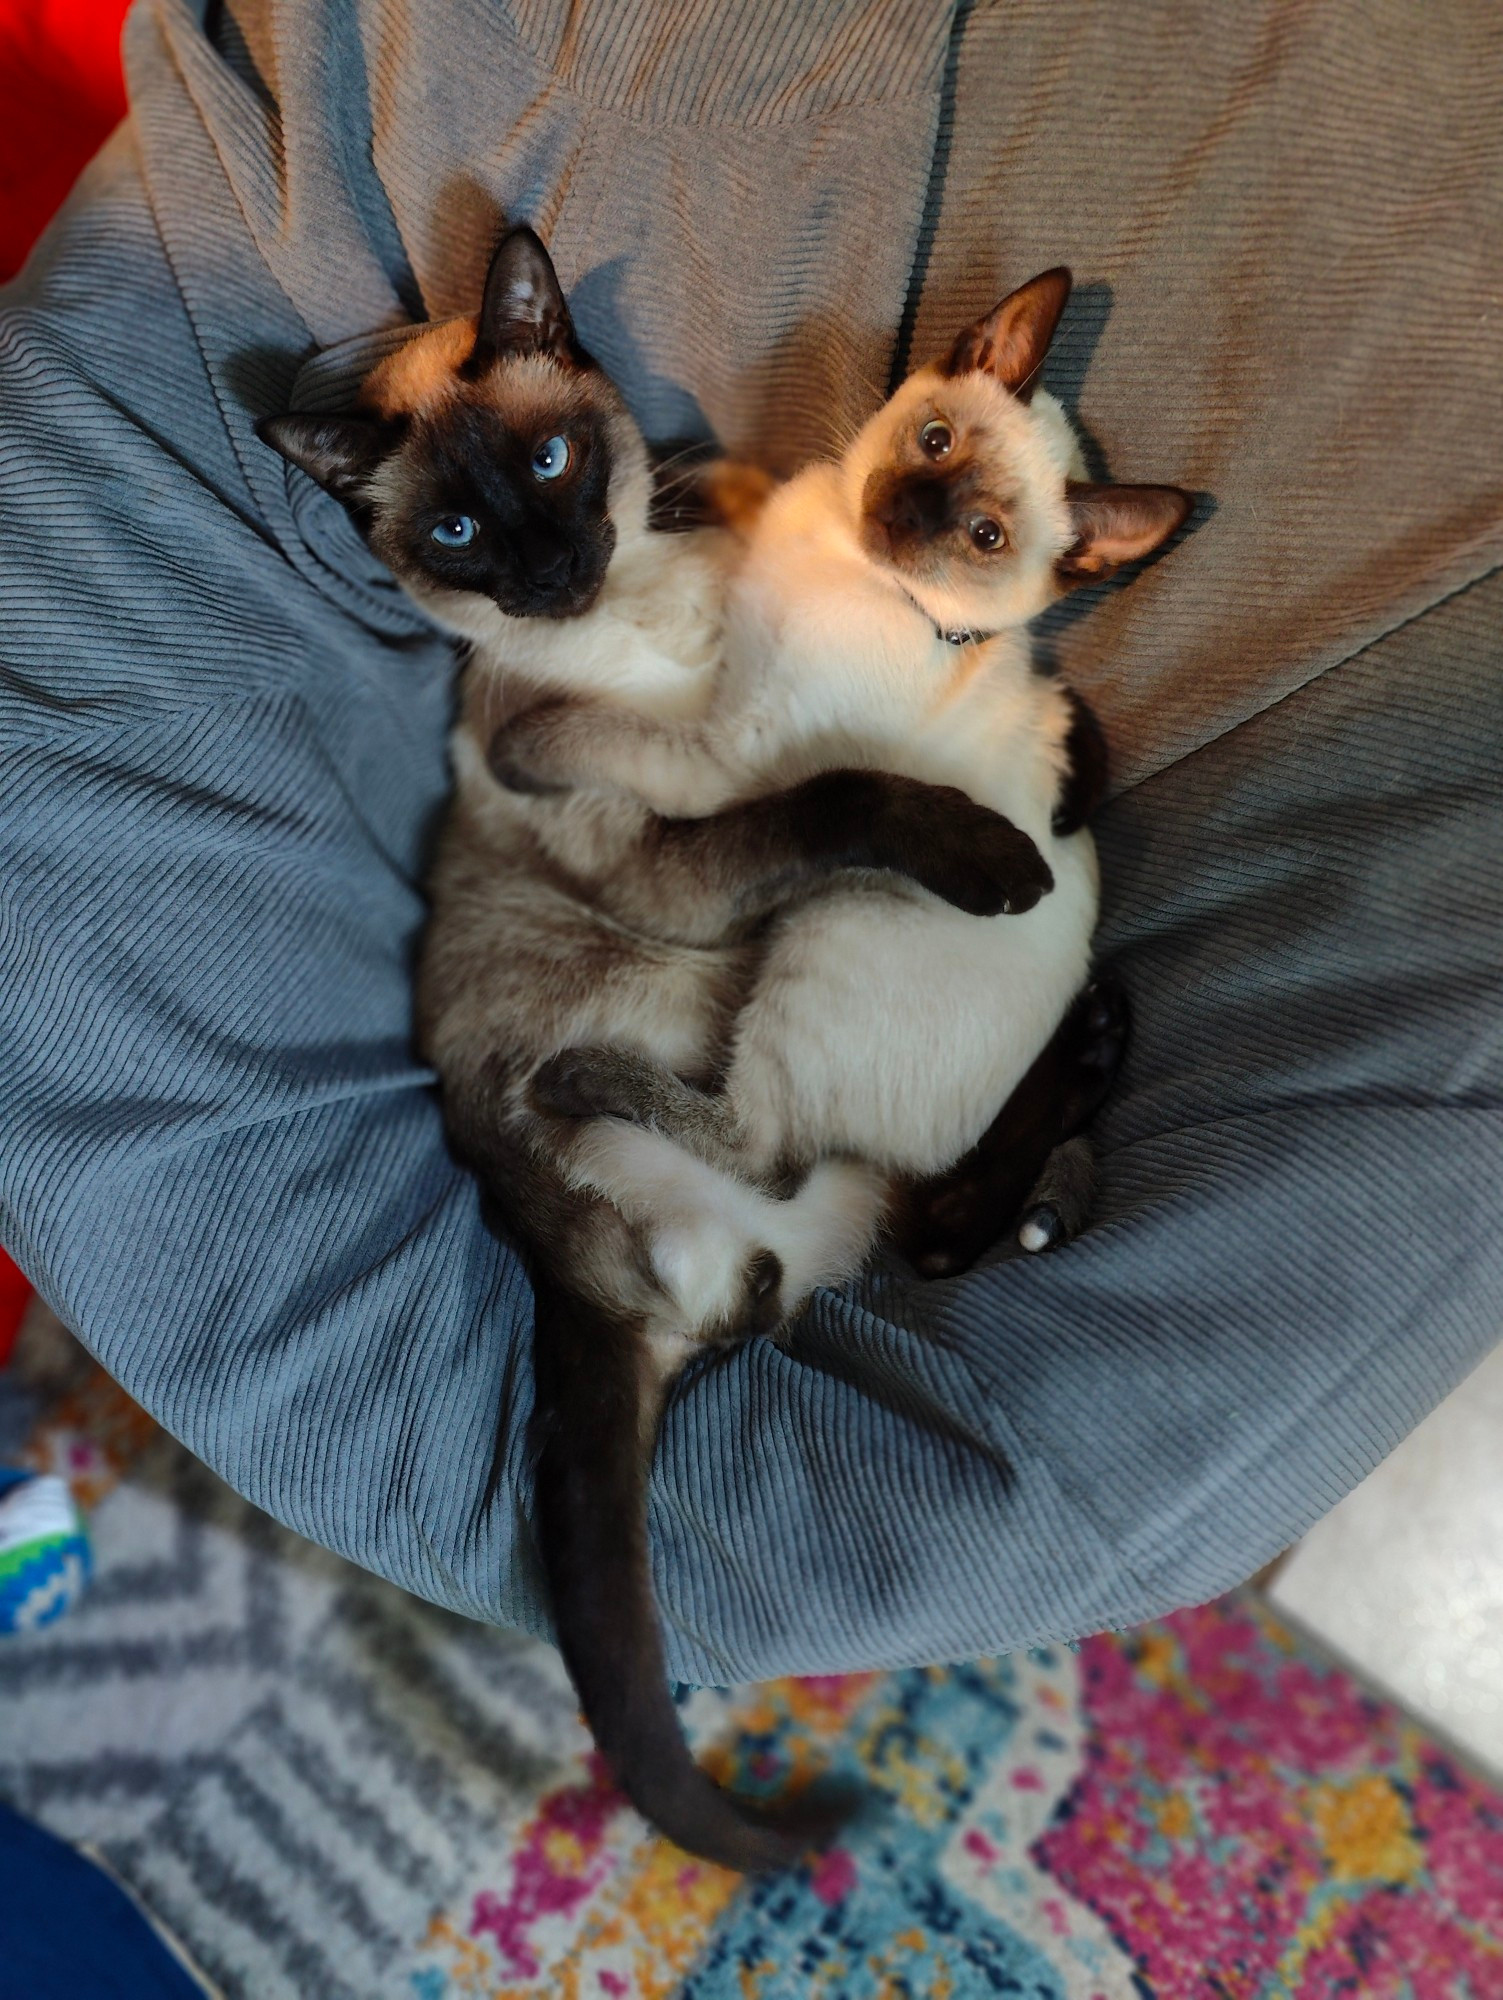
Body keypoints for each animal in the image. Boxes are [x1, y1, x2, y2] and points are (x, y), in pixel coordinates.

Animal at [257, 230, 1095, 1872]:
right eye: (457, 528)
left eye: (553, 461)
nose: (550, 571)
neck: (646, 613)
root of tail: (559, 1274)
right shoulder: (680, 843)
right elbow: (829, 790)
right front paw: (988, 852)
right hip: (712, 1052)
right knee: (789, 1195)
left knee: (878, 1232)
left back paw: (1055, 1140)